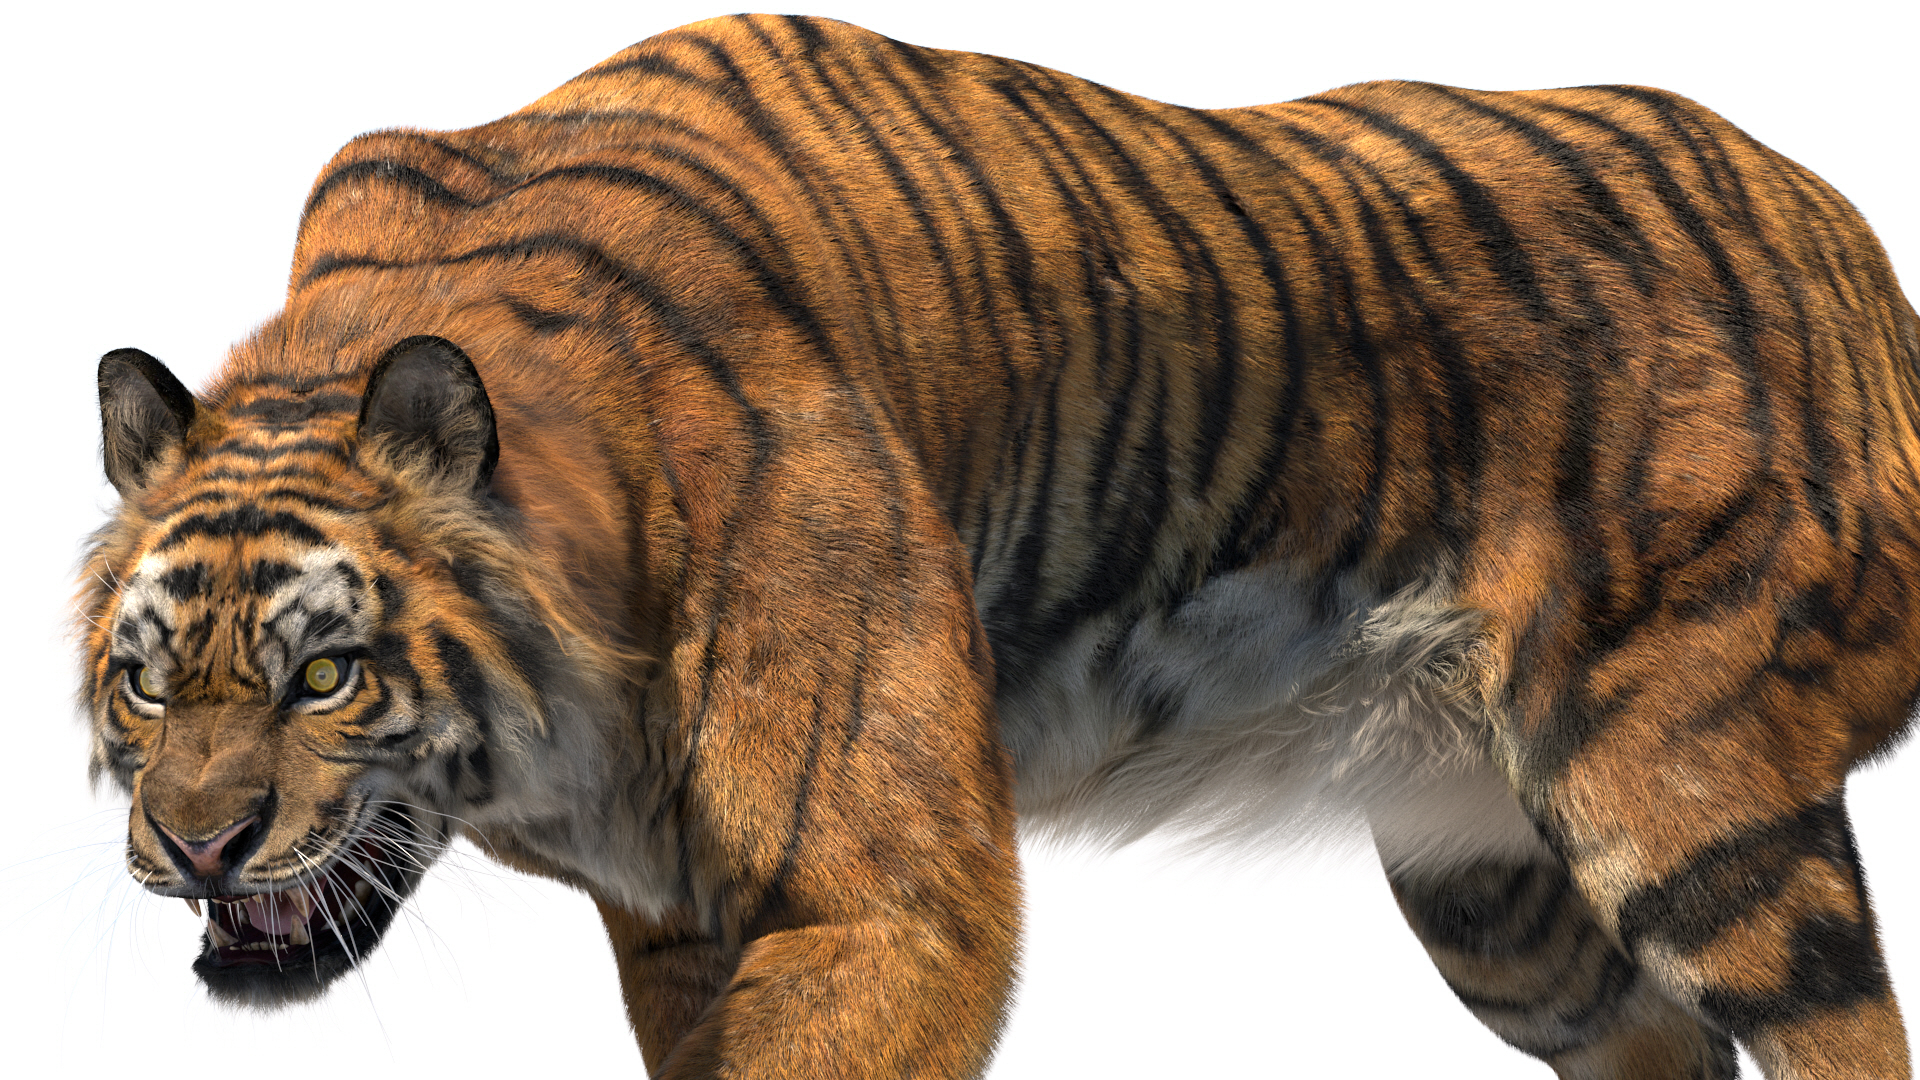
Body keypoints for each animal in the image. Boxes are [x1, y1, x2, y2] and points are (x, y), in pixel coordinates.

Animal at [78, 12, 1917, 1079]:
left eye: (325, 675)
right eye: (146, 688)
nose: (196, 846)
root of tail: (1845, 233)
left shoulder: (882, 906)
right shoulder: (680, 927)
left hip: (1685, 789)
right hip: (1495, 888)